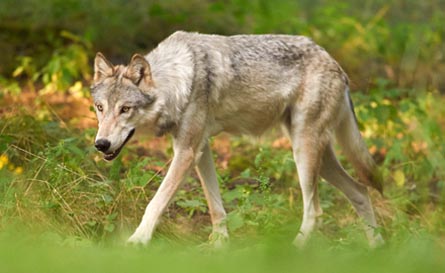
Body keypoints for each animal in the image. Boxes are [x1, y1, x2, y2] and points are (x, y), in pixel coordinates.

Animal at [89, 30, 382, 246]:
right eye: (100, 108)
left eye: (125, 109)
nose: (101, 144)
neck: (177, 82)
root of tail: (334, 63)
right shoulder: (200, 150)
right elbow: (215, 206)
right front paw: (219, 246)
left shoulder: (186, 152)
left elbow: (156, 203)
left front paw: (137, 242)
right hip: (320, 159)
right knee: (361, 191)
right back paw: (375, 251)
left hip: (304, 153)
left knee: (315, 212)